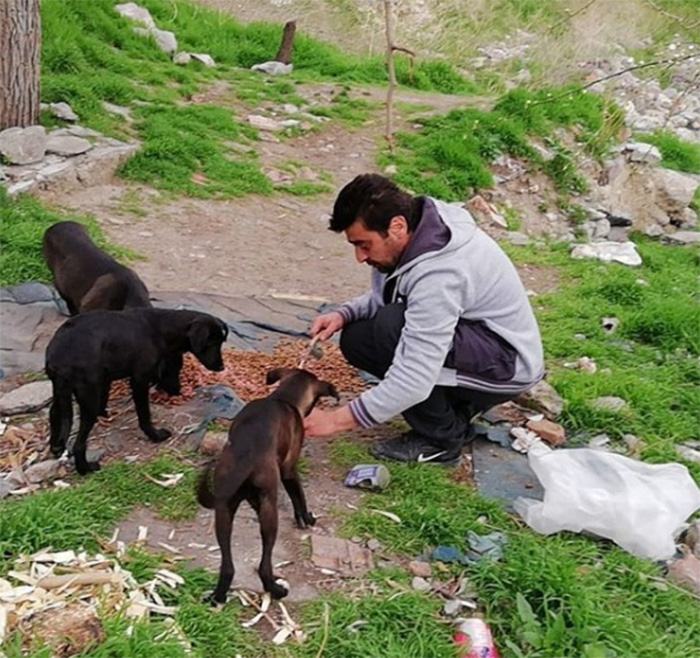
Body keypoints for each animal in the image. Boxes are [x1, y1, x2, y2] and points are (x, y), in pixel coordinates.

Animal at [46, 308, 227, 472]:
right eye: (212, 344)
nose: (221, 367)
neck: (161, 329)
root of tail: (59, 355)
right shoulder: (139, 381)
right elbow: (144, 415)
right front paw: (155, 435)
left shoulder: (105, 379)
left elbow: (105, 397)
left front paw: (104, 414)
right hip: (88, 400)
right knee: (79, 444)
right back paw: (85, 468)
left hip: (60, 391)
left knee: (54, 413)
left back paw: (56, 448)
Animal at [197, 366, 340, 604]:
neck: (283, 399)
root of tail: (244, 458)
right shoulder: (289, 471)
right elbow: (299, 497)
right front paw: (307, 518)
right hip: (268, 511)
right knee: (264, 565)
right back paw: (276, 590)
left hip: (224, 511)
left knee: (227, 566)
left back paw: (218, 596)